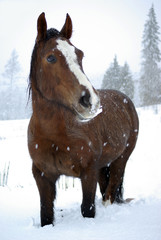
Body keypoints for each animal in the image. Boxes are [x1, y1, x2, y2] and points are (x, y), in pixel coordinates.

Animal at [27, 12, 138, 227]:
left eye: (80, 55)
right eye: (50, 57)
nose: (91, 101)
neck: (55, 134)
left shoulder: (88, 173)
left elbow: (88, 209)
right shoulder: (42, 176)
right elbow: (46, 215)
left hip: (121, 159)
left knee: (110, 193)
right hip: (104, 166)